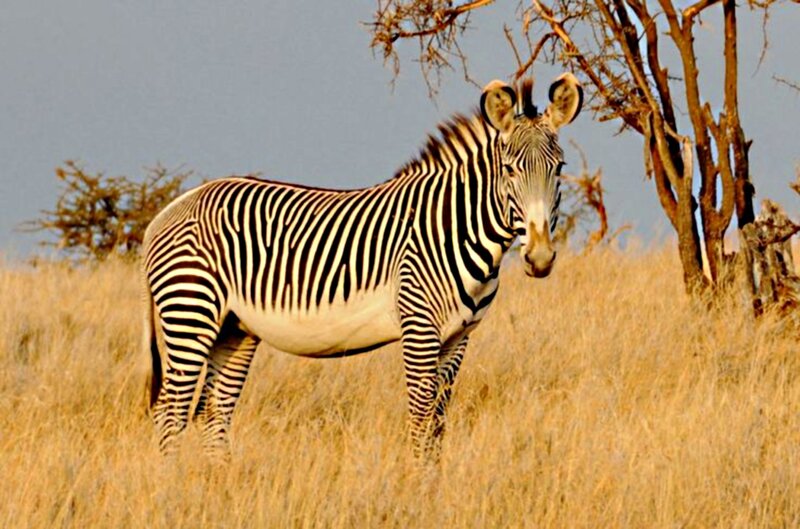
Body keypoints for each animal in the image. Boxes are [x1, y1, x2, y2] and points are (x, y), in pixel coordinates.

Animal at [143, 73, 583, 461]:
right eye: (509, 170)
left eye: (559, 168)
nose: (540, 258)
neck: (453, 227)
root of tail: (174, 206)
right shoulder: (419, 327)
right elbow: (421, 419)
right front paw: (418, 488)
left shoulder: (459, 337)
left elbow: (439, 423)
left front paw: (434, 485)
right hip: (190, 312)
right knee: (171, 413)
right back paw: (173, 488)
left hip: (235, 329)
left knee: (213, 414)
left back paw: (216, 483)